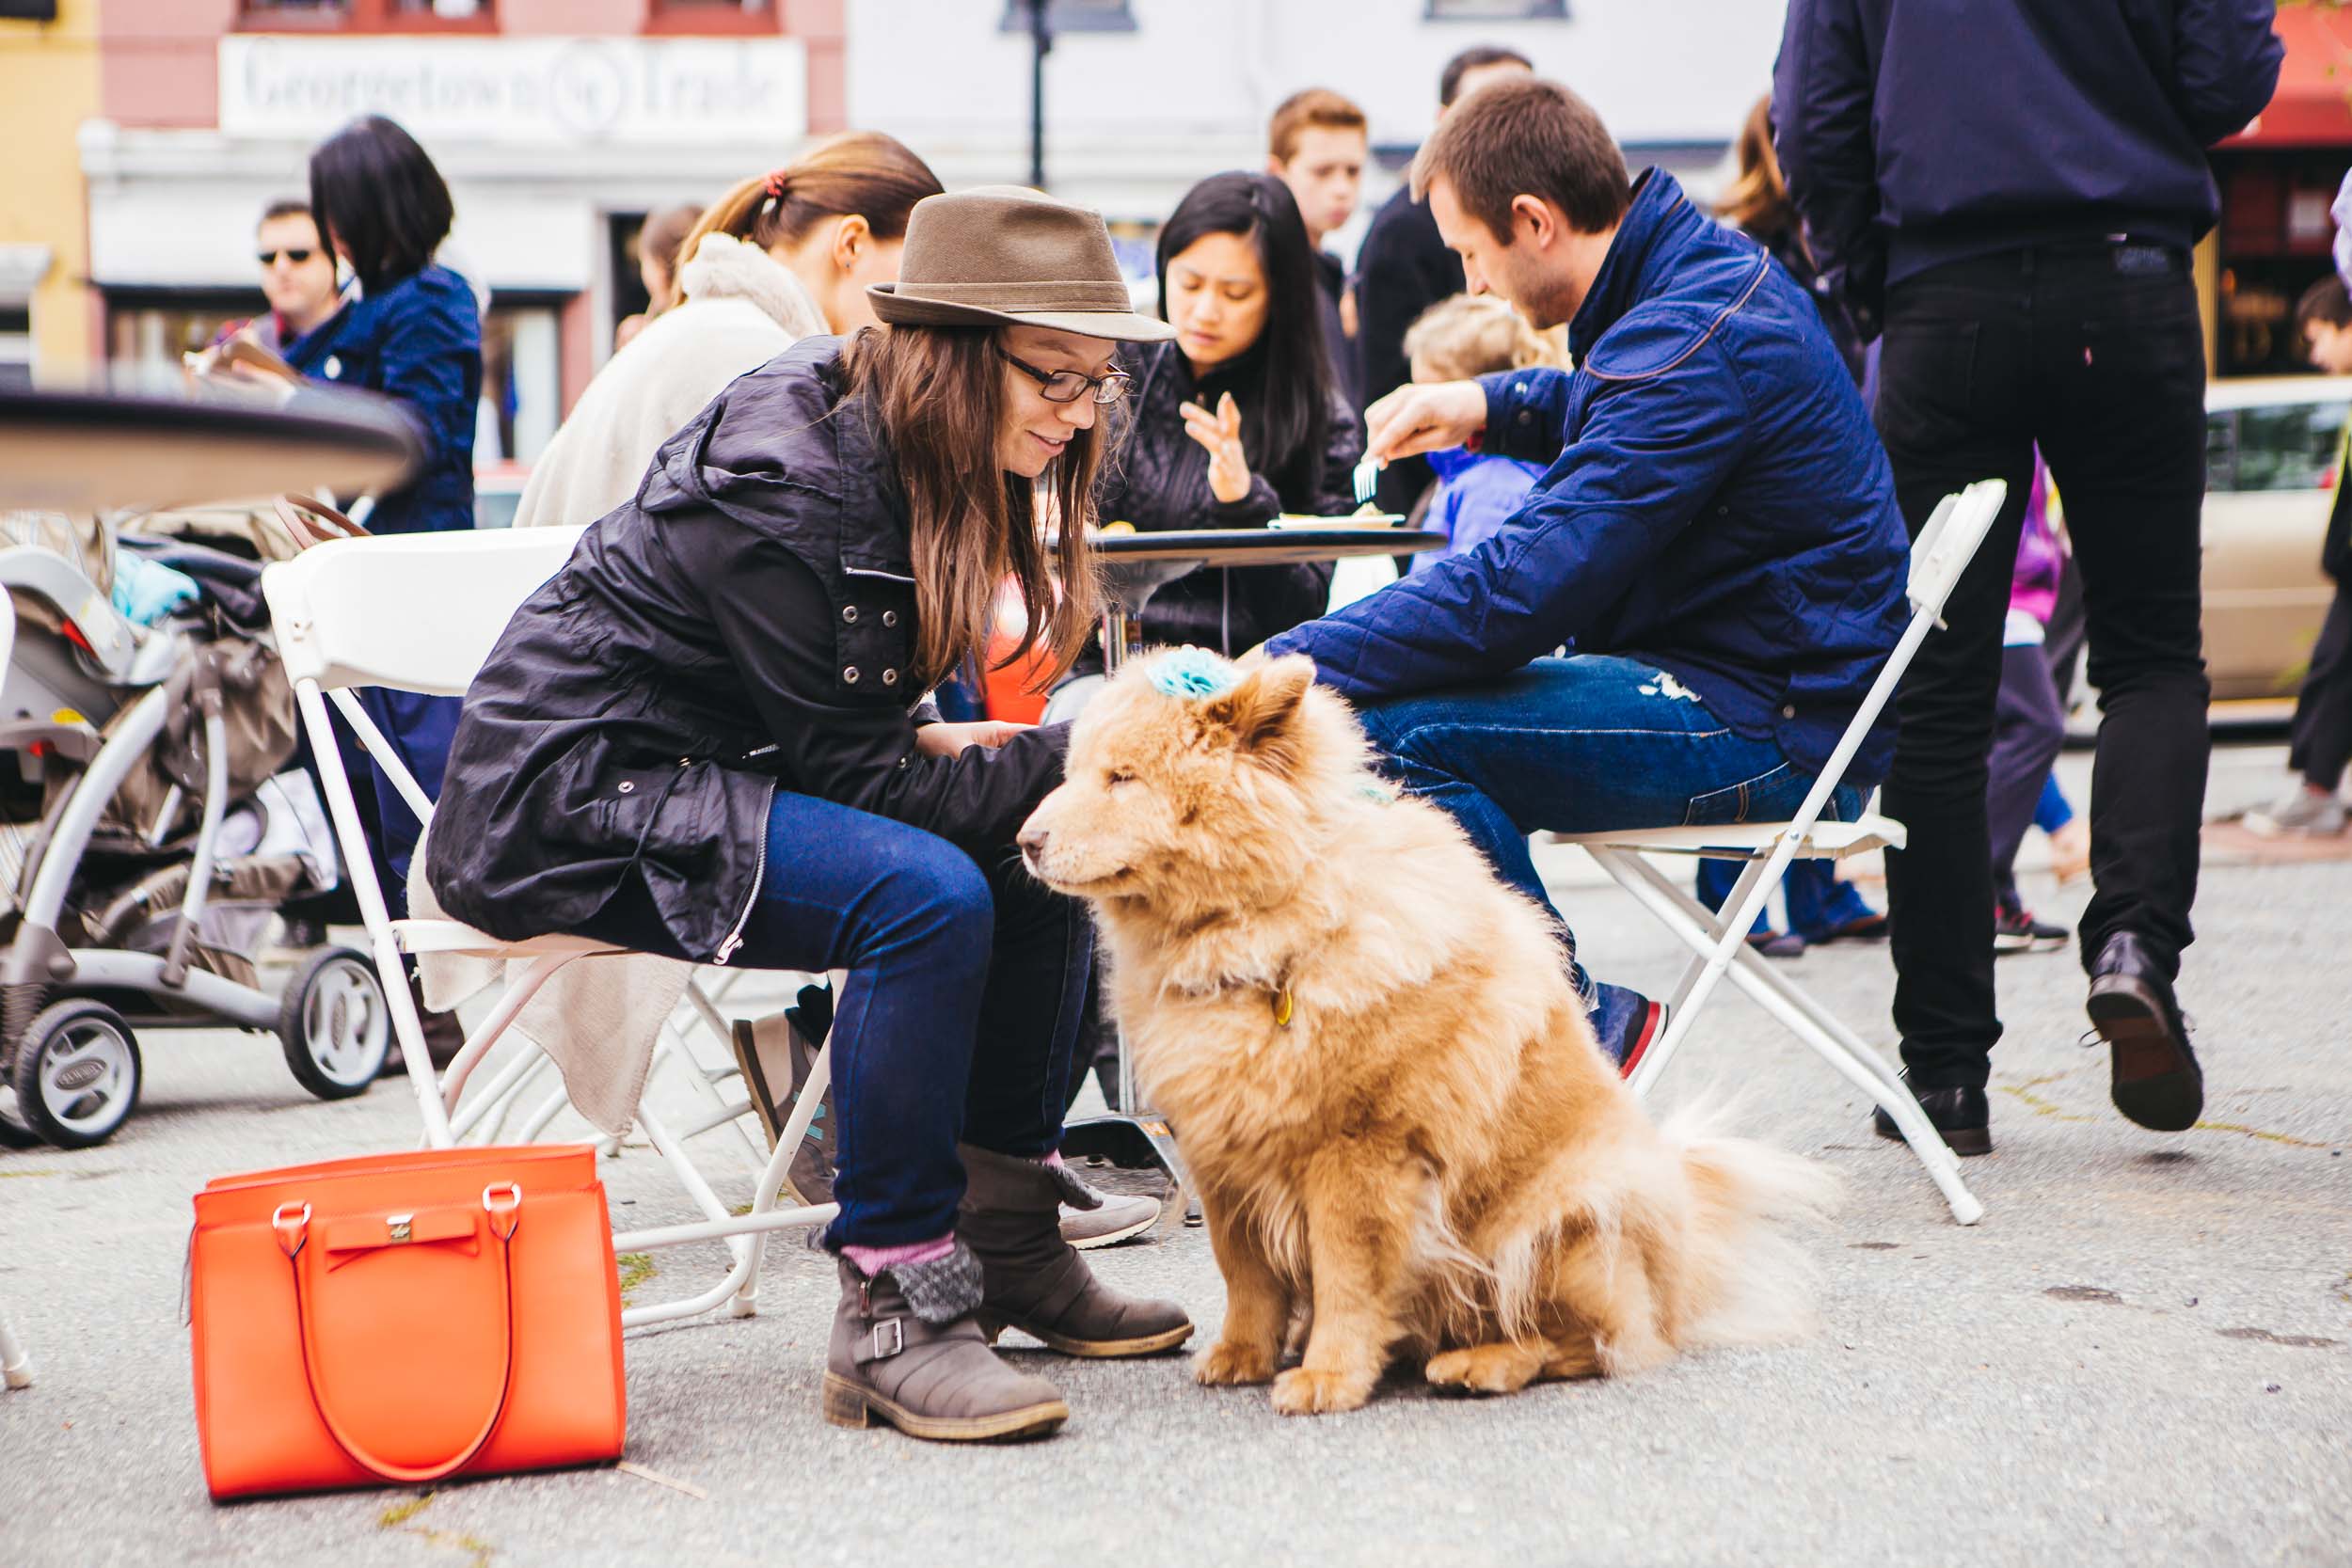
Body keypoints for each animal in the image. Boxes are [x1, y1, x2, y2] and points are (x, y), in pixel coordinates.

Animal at [1021, 648, 1844, 1419]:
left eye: (1122, 778)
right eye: (1076, 772)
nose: (1025, 839)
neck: (1266, 926)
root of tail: (1683, 1261)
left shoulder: (1357, 1154)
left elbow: (1348, 1278)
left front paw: (1327, 1375)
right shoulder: (1222, 1151)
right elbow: (1245, 1271)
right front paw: (1241, 1355)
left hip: (1557, 1222)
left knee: (1587, 1339)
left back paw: (1480, 1362)